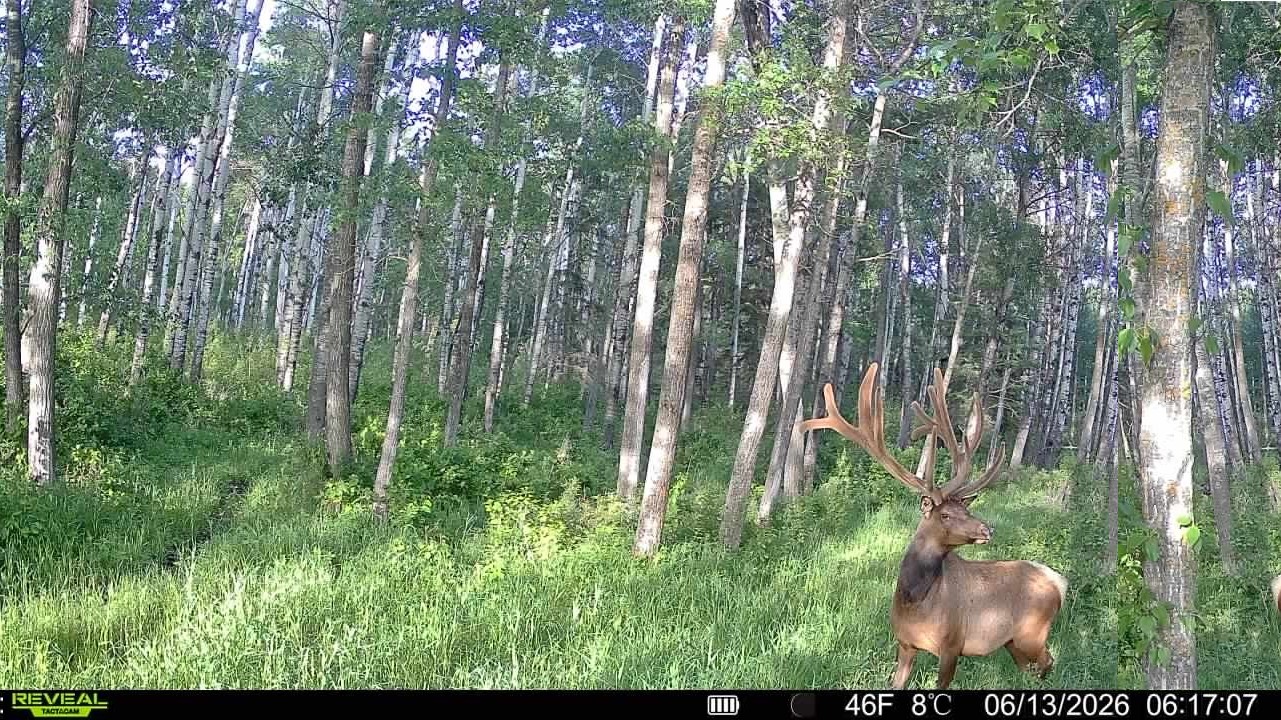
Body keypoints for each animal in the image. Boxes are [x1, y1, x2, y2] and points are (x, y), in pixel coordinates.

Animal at [798, 362, 1068, 690]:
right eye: (946, 514)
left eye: (967, 508)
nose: (987, 530)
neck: (915, 601)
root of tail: (1059, 581)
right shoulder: (904, 643)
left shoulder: (952, 645)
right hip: (1013, 642)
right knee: (1033, 668)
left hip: (1033, 633)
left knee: (1049, 662)